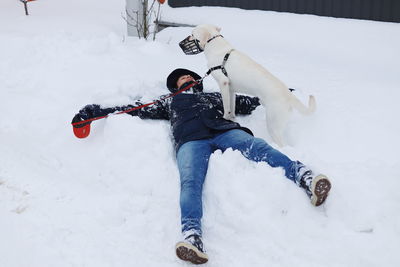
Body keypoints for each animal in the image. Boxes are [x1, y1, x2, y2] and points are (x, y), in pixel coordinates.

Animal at [180, 23, 316, 148]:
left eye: (192, 34)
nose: (179, 44)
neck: (215, 46)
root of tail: (289, 95)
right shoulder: (231, 89)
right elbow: (232, 109)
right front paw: (232, 119)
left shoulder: (223, 83)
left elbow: (226, 108)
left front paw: (225, 118)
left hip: (273, 124)